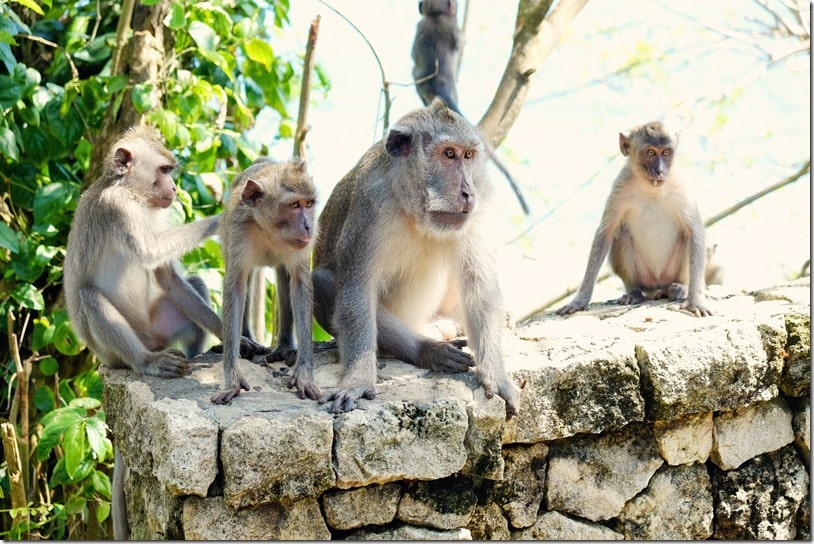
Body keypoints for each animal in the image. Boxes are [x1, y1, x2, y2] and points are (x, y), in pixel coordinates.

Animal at [212, 157, 320, 404]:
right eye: (294, 205)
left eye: (309, 203)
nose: (308, 226)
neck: (268, 230)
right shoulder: (238, 231)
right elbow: (236, 287)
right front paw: (232, 378)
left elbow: (300, 284)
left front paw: (304, 374)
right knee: (249, 279)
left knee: (285, 278)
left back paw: (284, 346)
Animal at [312, 96, 524, 416]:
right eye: (448, 154)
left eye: (468, 155)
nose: (467, 192)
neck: (414, 210)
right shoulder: (369, 206)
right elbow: (357, 292)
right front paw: (359, 379)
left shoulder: (482, 199)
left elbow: (480, 286)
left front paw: (496, 374)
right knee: (323, 282)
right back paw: (429, 349)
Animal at [556, 121, 712, 316]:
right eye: (651, 152)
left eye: (666, 152)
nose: (660, 170)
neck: (650, 188)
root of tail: (657, 286)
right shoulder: (620, 187)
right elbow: (605, 233)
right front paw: (579, 300)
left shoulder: (681, 185)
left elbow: (694, 231)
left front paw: (696, 300)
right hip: (645, 277)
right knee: (621, 235)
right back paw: (634, 292)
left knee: (686, 238)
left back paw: (679, 287)